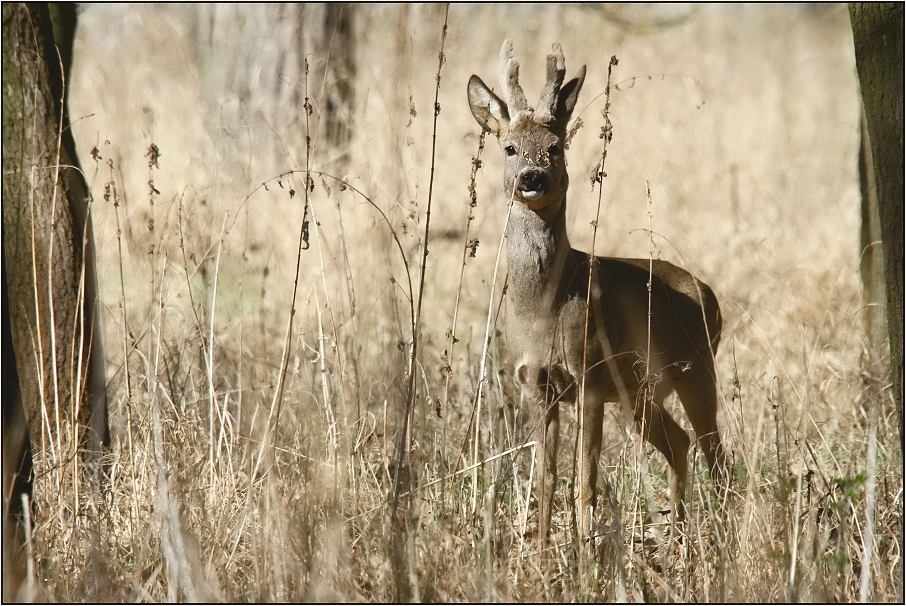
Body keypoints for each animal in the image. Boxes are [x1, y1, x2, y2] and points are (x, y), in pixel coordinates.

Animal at [470, 40, 724, 548]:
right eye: (509, 147)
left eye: (554, 148)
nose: (531, 177)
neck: (543, 312)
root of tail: (710, 295)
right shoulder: (534, 385)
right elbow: (546, 480)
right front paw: (542, 552)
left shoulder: (589, 375)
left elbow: (584, 479)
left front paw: (585, 551)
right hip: (640, 390)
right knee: (680, 442)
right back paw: (678, 534)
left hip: (696, 368)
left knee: (717, 454)